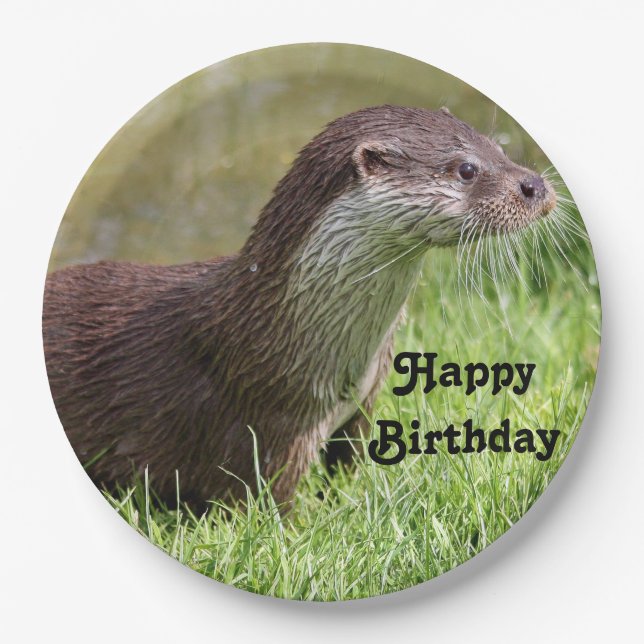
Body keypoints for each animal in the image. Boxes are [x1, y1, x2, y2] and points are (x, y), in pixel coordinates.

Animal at [43, 105, 556, 509]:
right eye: (466, 169)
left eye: (496, 148)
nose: (536, 185)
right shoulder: (267, 433)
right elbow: (266, 507)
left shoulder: (362, 407)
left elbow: (348, 467)